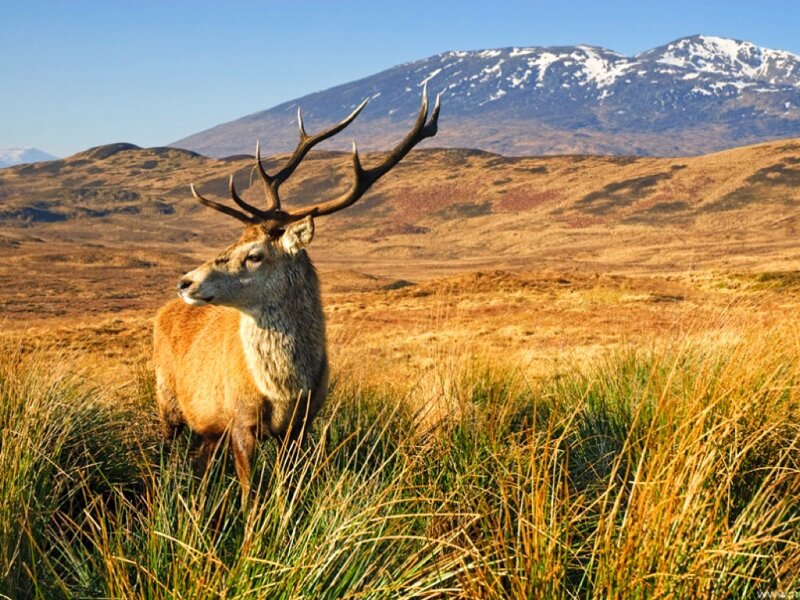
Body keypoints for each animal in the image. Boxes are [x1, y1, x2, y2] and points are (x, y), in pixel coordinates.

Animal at [153, 88, 440, 495]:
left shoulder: (301, 424)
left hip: (206, 428)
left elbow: (285, 487)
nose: (185, 281)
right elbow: (250, 493)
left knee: (198, 463)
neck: (284, 390)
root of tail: (161, 313)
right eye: (232, 241)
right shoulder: (240, 419)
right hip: (166, 399)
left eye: (254, 255)